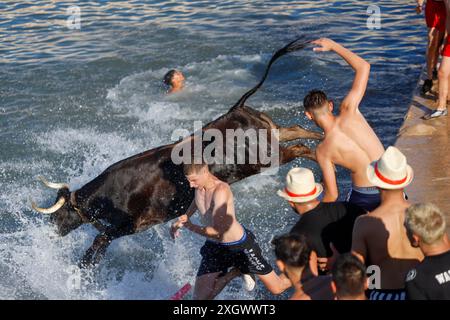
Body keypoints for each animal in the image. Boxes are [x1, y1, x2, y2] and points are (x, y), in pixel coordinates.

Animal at [31, 38, 322, 268]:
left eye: (57, 215)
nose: (50, 234)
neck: (108, 194)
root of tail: (237, 109)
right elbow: (101, 240)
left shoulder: (134, 223)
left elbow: (100, 240)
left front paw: (84, 267)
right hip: (273, 135)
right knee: (296, 131)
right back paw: (323, 138)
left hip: (267, 158)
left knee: (299, 147)